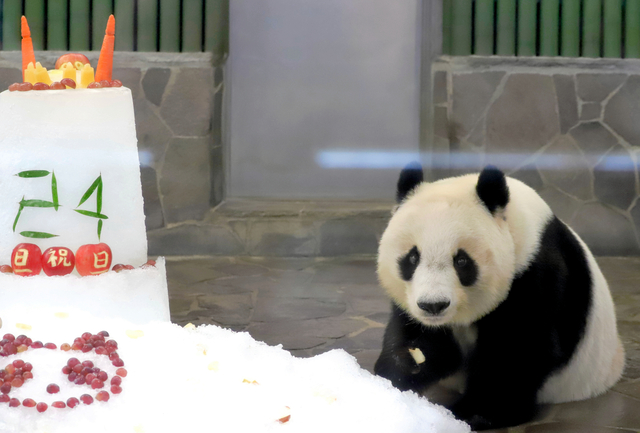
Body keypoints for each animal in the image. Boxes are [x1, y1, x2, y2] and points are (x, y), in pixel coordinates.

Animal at [376, 165, 624, 428]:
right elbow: (421, 342)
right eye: (412, 258)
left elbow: (517, 349)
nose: (434, 306)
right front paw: (400, 373)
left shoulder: (535, 274)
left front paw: (477, 413)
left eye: (461, 261)